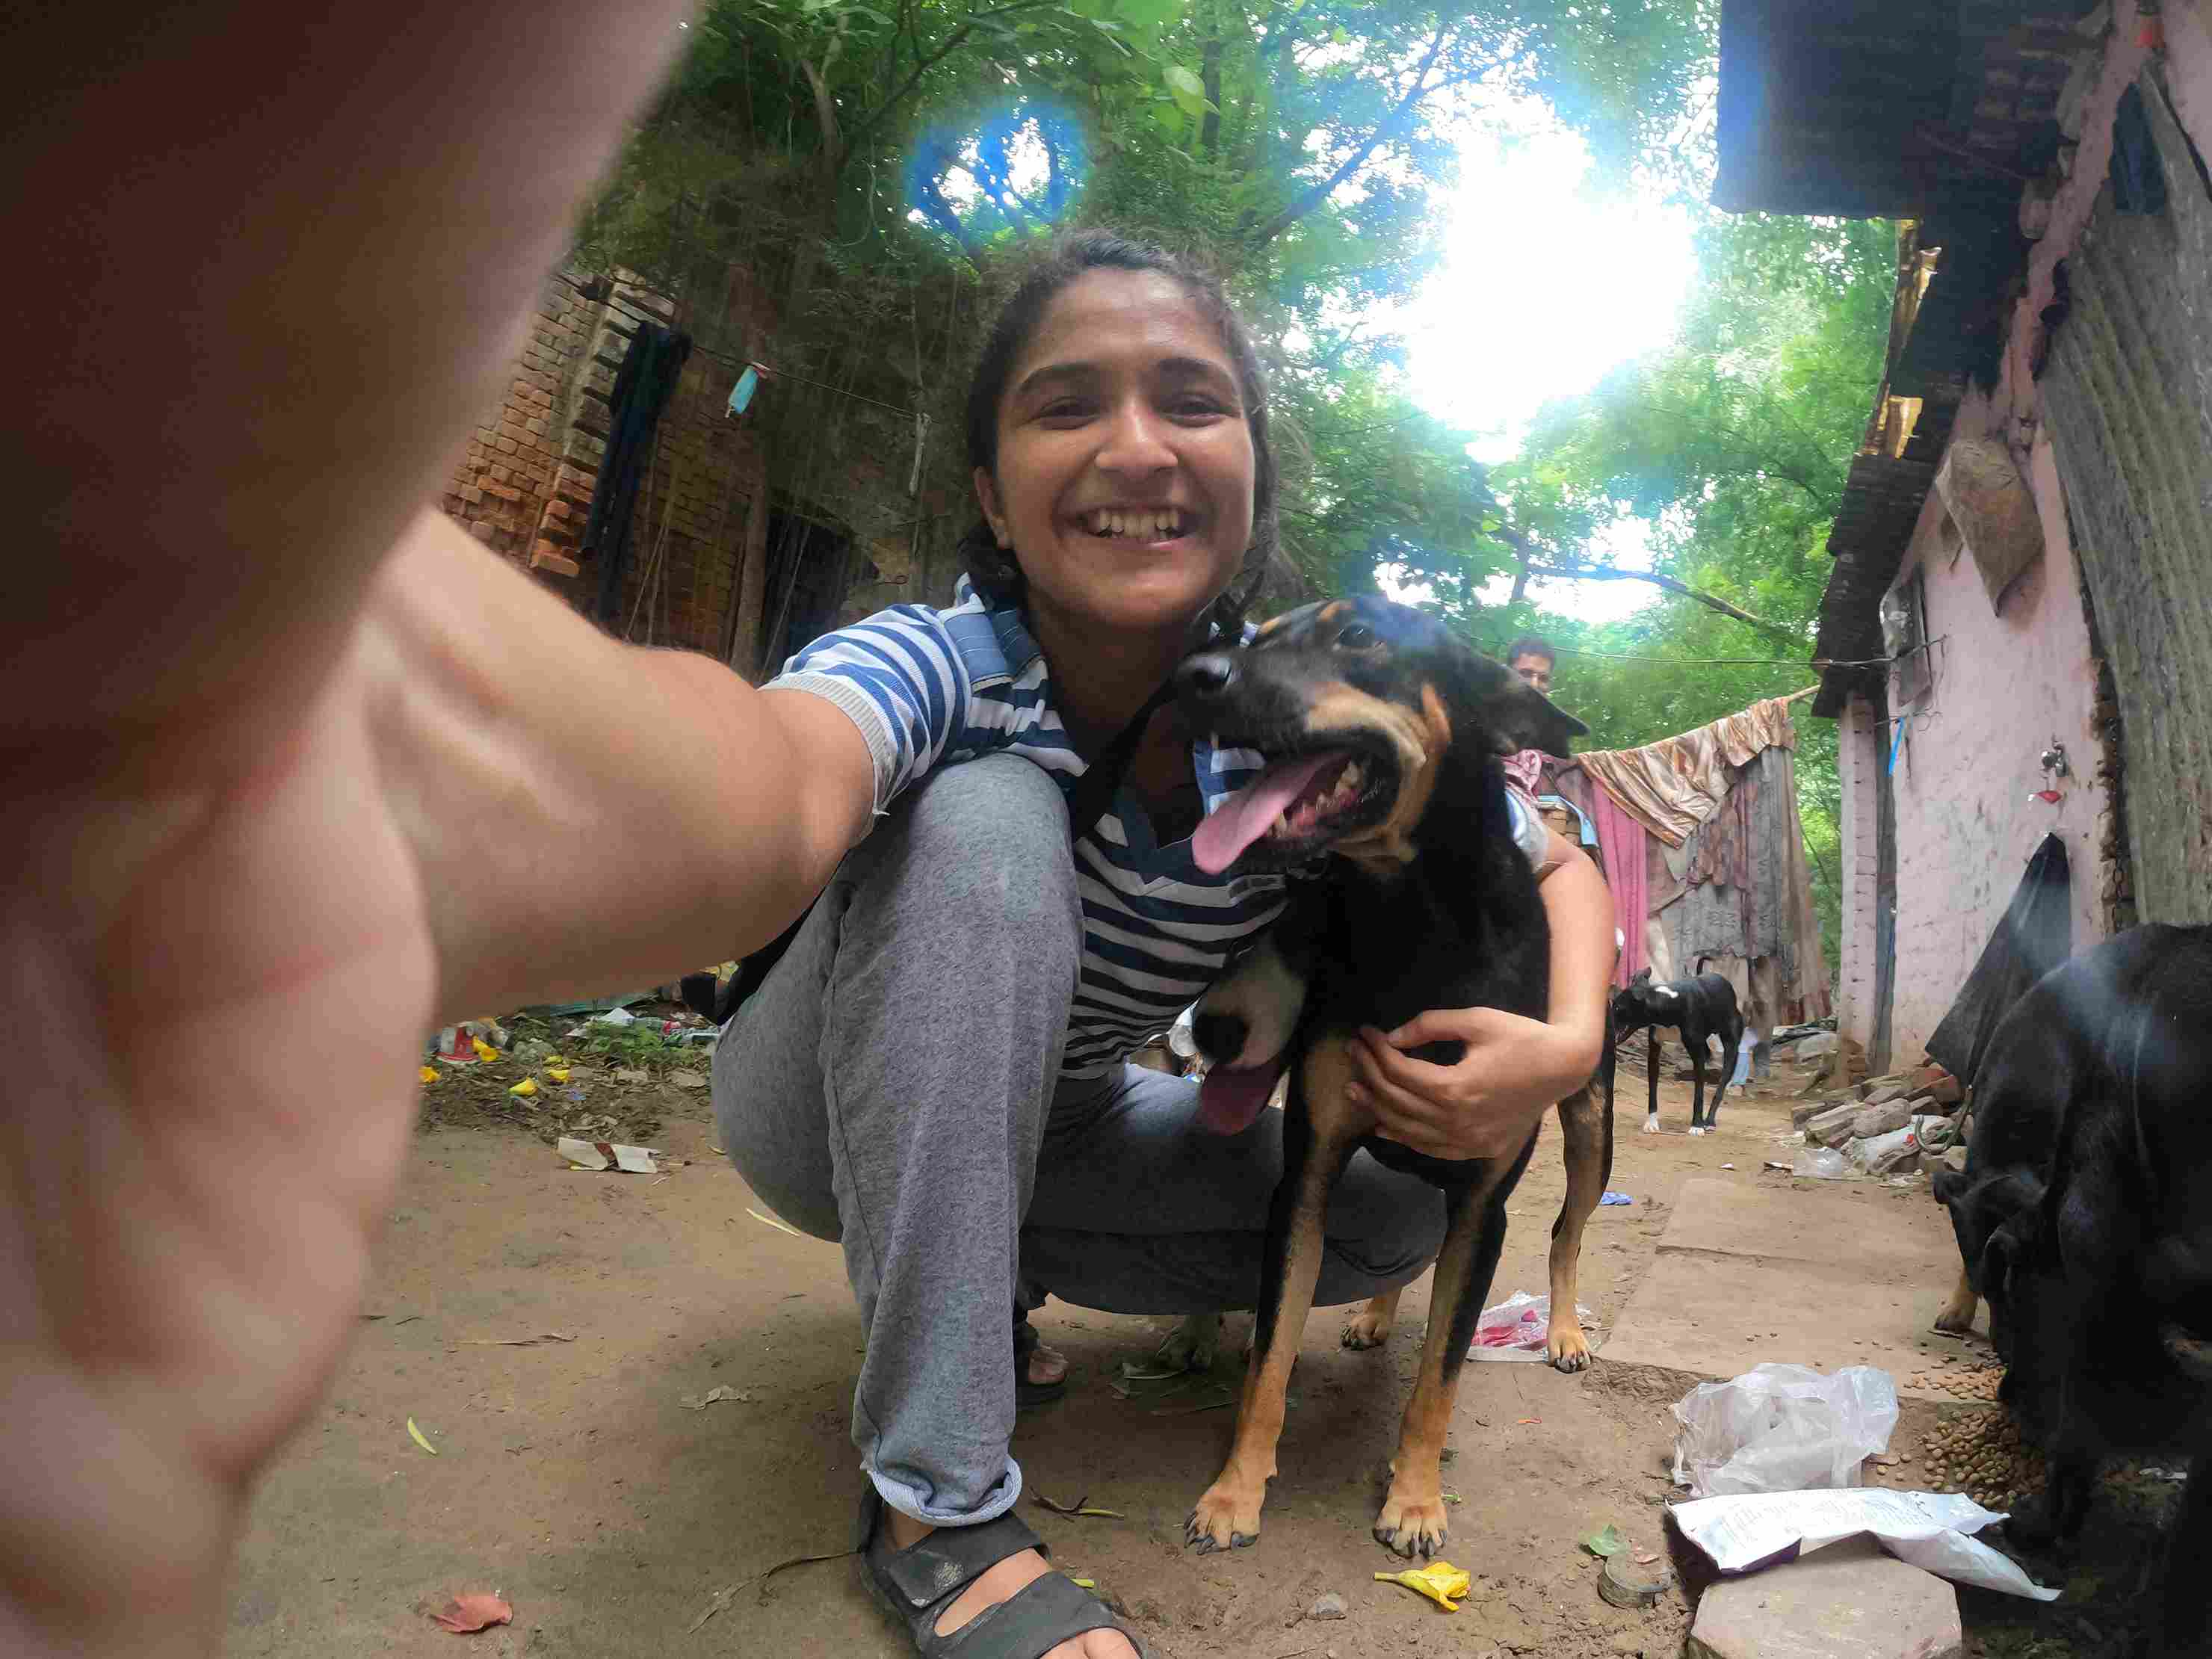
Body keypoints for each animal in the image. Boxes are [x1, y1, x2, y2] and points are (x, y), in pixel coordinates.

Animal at [1167, 606, 1619, 1566]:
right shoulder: (1305, 1180)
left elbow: (1437, 1379)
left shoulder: (1484, 1209)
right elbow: (1268, 1358)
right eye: (1261, 634)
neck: (1414, 919)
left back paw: (1563, 1329)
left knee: (1564, 1234)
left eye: (1363, 638)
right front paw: (1234, 1493)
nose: (1194, 676)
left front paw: (1413, 1503)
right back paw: (1375, 1314)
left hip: (1589, 1128)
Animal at [1610, 968, 1743, 1141]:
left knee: (1721, 1086)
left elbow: (1699, 1095)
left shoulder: (1697, 1057)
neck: (1669, 1003)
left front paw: (1697, 1126)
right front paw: (1652, 1123)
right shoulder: (1654, 1053)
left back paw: (1709, 1121)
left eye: (1618, 1008)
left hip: (1731, 1047)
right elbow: (1652, 1093)